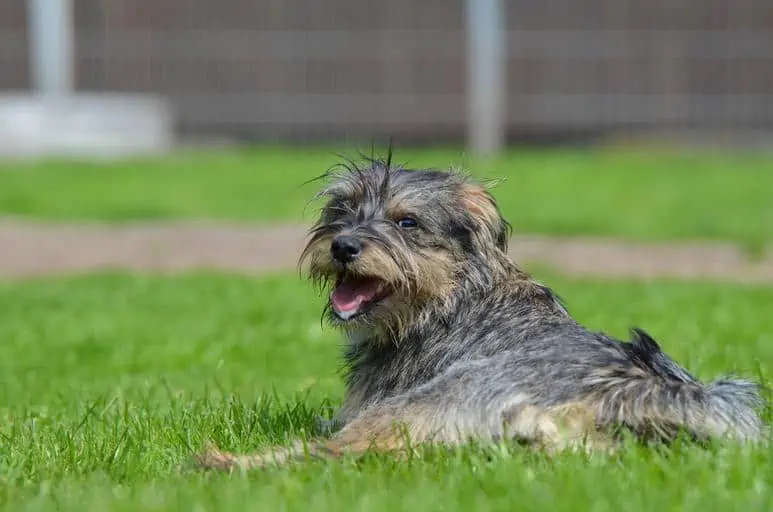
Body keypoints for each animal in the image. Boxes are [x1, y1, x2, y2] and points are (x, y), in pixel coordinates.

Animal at [195, 157, 764, 472]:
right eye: (342, 210)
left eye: (406, 222)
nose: (343, 245)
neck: (450, 297)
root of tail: (644, 387)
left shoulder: (376, 407)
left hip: (424, 405)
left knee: (329, 455)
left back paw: (219, 462)